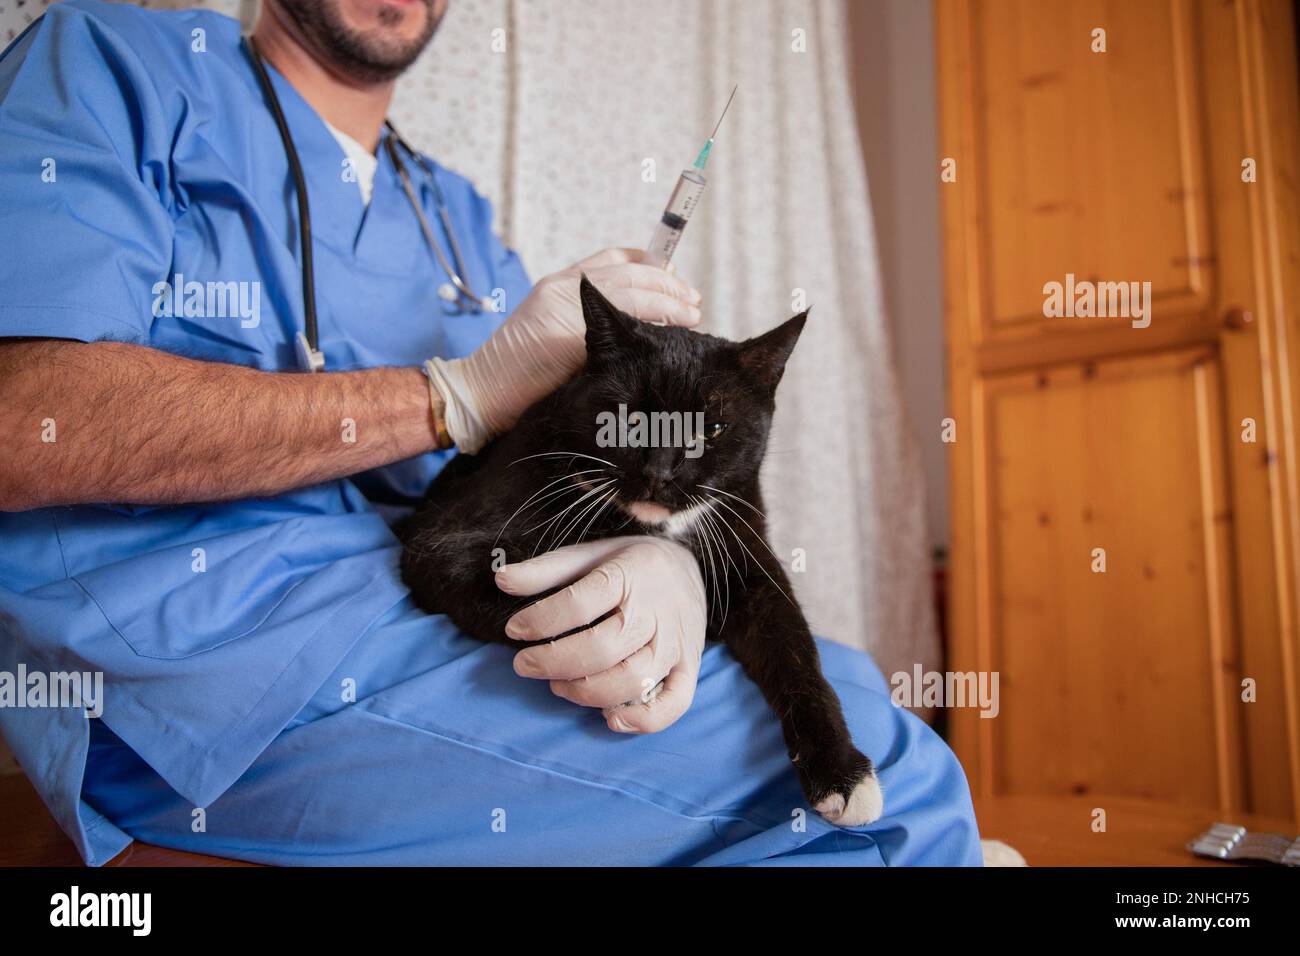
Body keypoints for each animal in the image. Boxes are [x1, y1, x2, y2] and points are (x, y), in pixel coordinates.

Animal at [397, 273, 883, 827]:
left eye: (711, 429)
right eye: (628, 418)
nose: (660, 472)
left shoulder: (748, 554)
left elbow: (796, 650)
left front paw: (842, 772)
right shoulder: (442, 547)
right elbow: (546, 608)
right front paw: (632, 669)